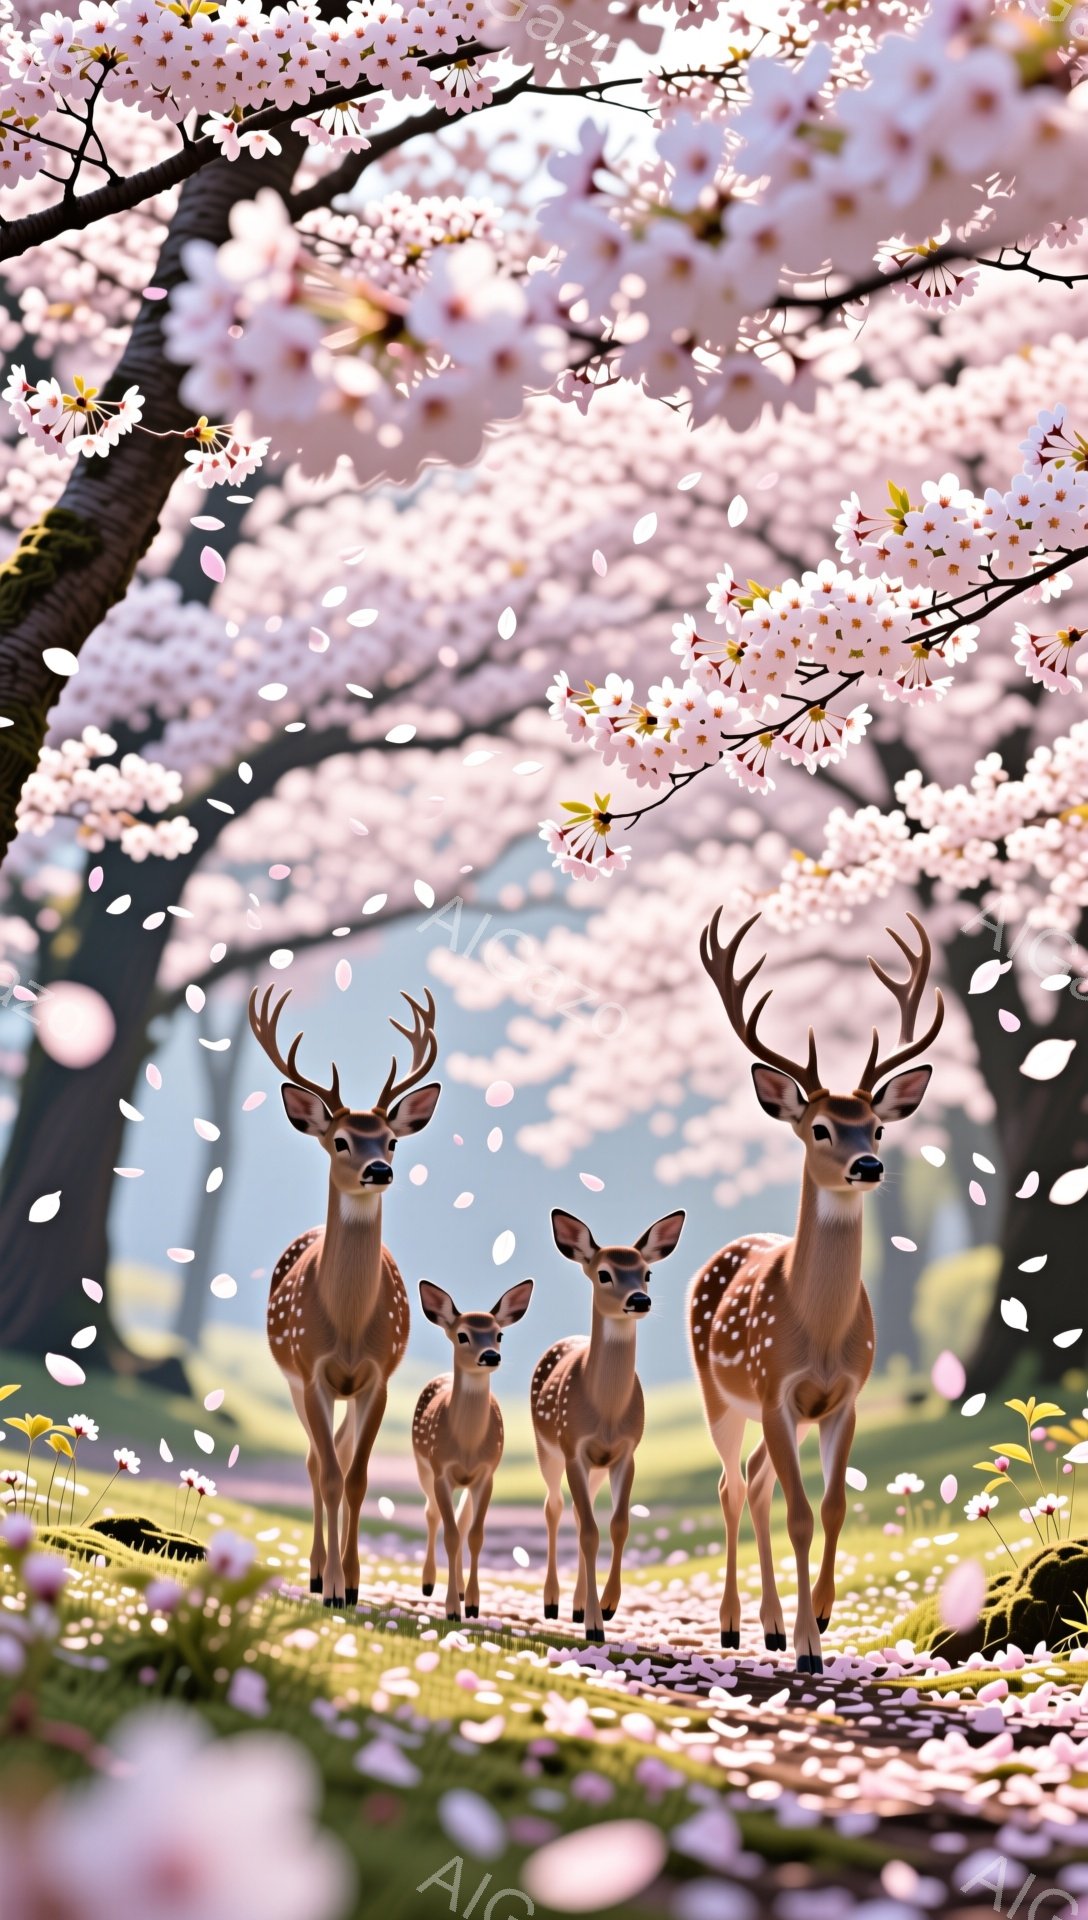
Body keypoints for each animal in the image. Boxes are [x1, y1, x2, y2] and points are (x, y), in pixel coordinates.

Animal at [248, 982, 441, 1609]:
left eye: (392, 1141)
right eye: (339, 1141)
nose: (379, 1169)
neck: (351, 1328)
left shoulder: (378, 1375)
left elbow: (356, 1478)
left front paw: (353, 1584)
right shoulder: (310, 1369)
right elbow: (331, 1474)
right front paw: (332, 1585)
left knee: (332, 1452)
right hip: (293, 1377)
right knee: (315, 1459)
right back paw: (313, 1573)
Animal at [413, 1278, 535, 1621]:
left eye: (499, 1334)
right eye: (462, 1335)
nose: (491, 1356)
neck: (466, 1446)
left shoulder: (486, 1474)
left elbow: (474, 1535)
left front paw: (472, 1603)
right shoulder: (441, 1471)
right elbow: (451, 1534)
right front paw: (452, 1609)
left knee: (461, 1519)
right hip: (423, 1468)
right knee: (432, 1514)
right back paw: (428, 1583)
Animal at [531, 1207, 686, 1643]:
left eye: (647, 1273)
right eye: (604, 1274)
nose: (639, 1300)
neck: (607, 1416)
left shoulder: (626, 1453)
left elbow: (617, 1525)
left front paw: (607, 1605)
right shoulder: (574, 1448)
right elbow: (588, 1531)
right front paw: (595, 1626)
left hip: (594, 1467)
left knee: (581, 1513)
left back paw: (578, 1605)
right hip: (548, 1450)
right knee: (555, 1508)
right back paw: (553, 1603)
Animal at [689, 910, 943, 1674]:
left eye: (880, 1125)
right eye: (820, 1126)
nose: (868, 1165)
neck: (821, 1332)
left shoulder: (844, 1396)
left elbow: (830, 1508)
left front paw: (822, 1617)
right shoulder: (775, 1386)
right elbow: (801, 1513)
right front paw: (808, 1646)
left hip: (786, 1416)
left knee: (756, 1479)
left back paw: (770, 1625)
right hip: (720, 1393)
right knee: (732, 1483)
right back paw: (736, 1626)